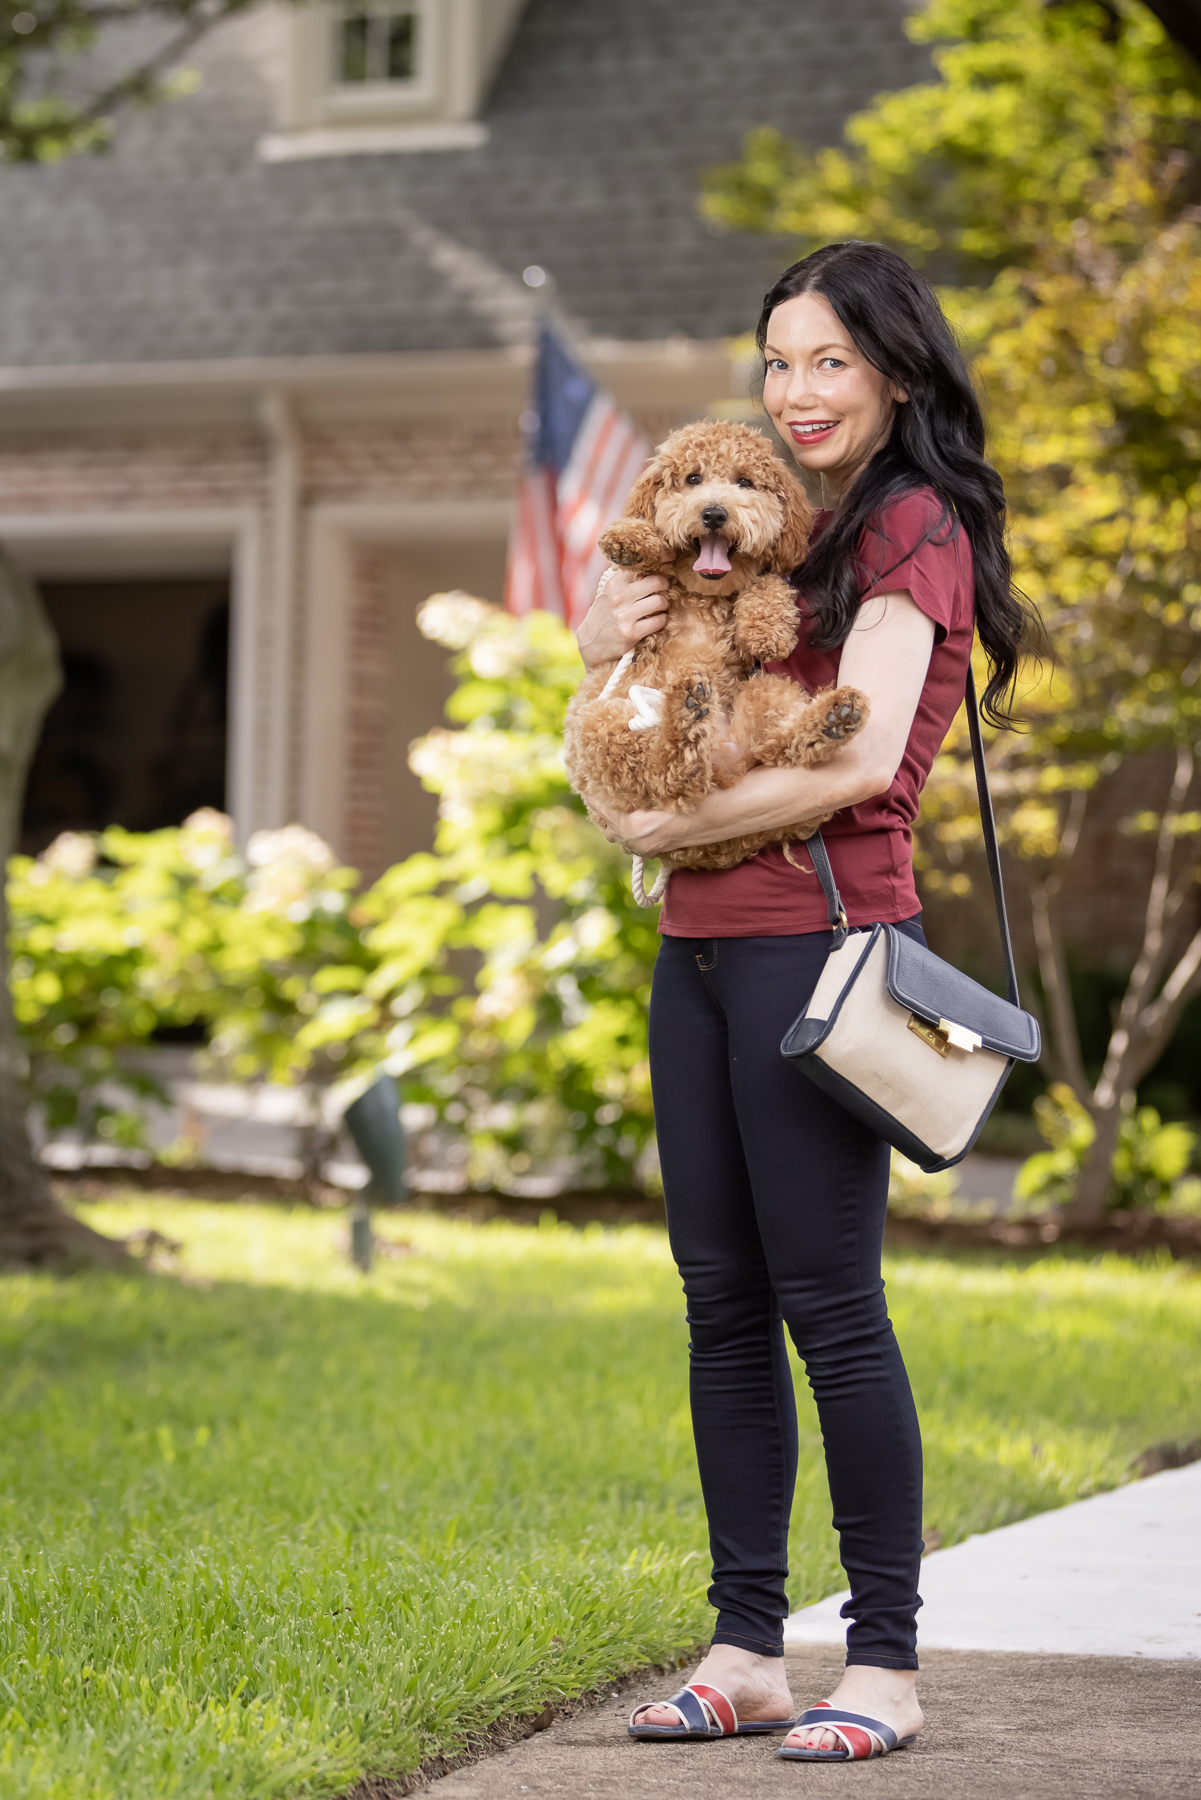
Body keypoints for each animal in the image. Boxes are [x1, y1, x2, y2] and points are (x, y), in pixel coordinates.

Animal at [568, 414, 867, 878]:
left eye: (744, 481)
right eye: (692, 479)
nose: (713, 513)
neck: (704, 594)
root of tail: (725, 763)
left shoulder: (765, 577)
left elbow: (767, 582)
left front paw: (767, 629)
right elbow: (646, 550)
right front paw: (630, 539)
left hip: (767, 692)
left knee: (773, 750)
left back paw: (832, 719)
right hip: (600, 723)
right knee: (668, 778)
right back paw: (688, 716)